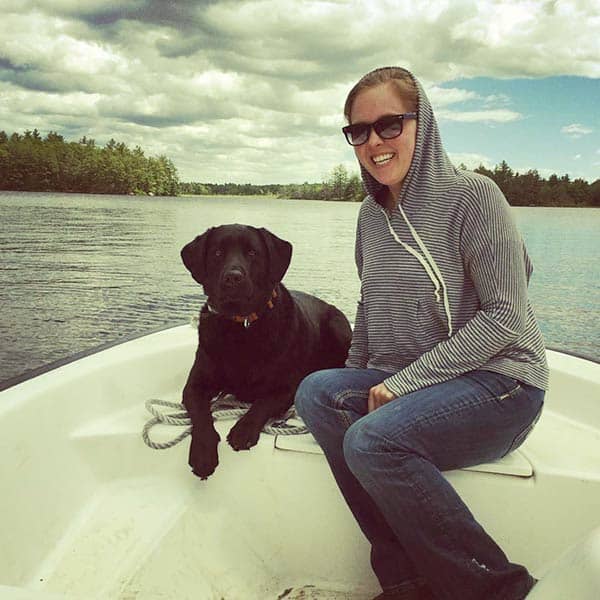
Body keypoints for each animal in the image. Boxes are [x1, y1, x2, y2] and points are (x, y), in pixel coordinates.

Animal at [180, 223, 354, 480]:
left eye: (253, 252)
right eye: (217, 253)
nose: (233, 277)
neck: (241, 327)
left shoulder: (288, 387)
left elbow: (262, 403)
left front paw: (243, 430)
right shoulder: (194, 385)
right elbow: (201, 415)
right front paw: (202, 453)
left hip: (337, 326)